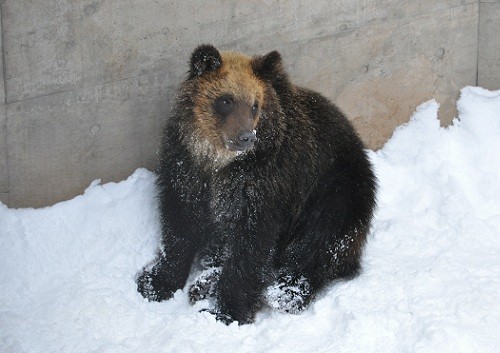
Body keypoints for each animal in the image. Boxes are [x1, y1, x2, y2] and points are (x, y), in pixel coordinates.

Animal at [136, 44, 376, 324]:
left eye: (254, 105)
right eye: (226, 100)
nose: (246, 137)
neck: (218, 162)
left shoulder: (266, 181)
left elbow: (251, 244)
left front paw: (225, 311)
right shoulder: (185, 167)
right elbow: (179, 223)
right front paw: (155, 282)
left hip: (338, 188)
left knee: (321, 240)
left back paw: (286, 292)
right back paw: (205, 281)